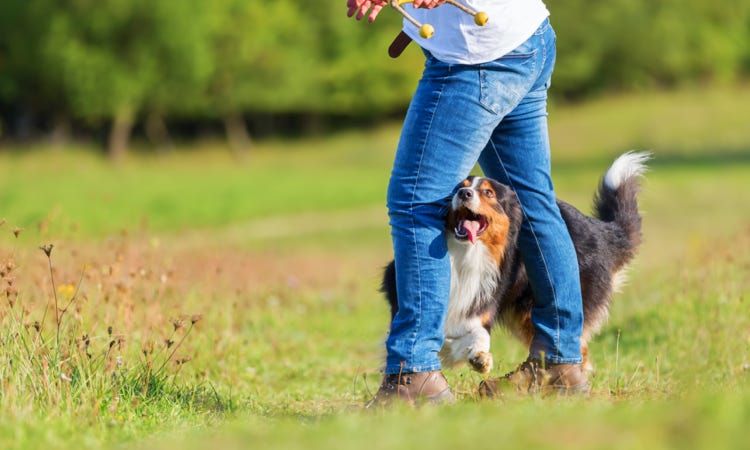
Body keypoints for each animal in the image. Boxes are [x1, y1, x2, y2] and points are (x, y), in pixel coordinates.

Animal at [384, 153, 648, 374]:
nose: (464, 194)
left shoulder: (481, 302)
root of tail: (602, 231)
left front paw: (478, 358)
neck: (464, 254)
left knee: (576, 349)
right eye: (460, 187)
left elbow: (479, 334)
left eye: (489, 193)